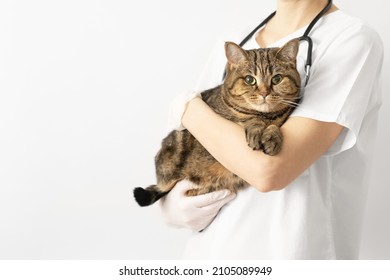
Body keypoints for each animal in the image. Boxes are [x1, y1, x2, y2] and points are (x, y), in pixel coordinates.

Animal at [135, 38, 302, 206]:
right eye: (250, 80)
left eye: (277, 79)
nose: (264, 93)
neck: (266, 116)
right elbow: (250, 120)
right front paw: (257, 128)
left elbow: (274, 126)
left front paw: (272, 137)